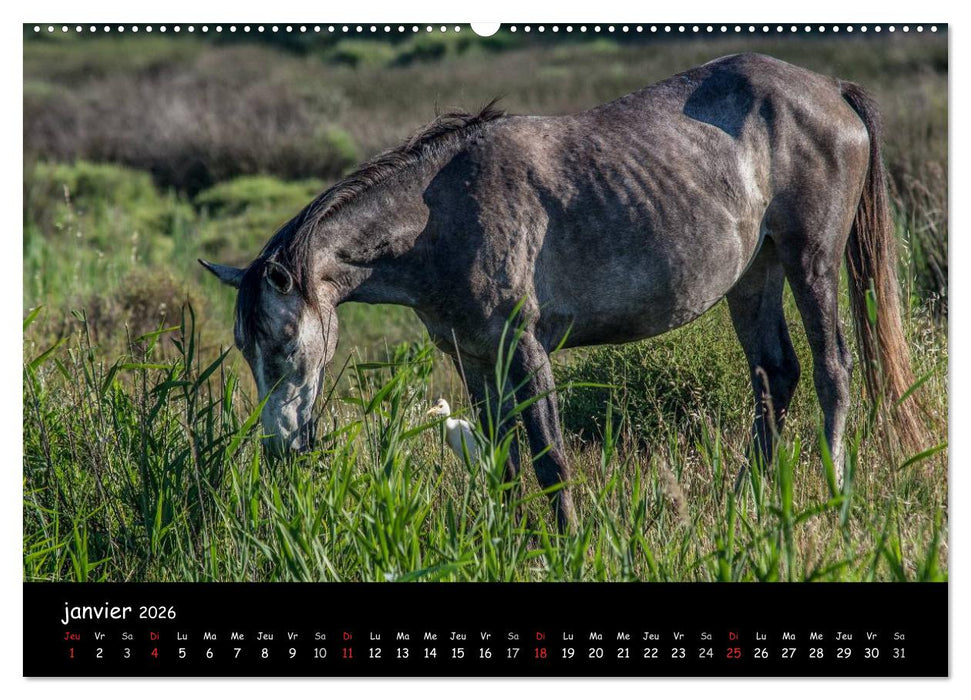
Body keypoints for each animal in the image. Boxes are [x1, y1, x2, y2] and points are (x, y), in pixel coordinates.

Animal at [201, 53, 924, 533]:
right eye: (244, 347)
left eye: (285, 342)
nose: (280, 451)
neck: (442, 216)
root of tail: (829, 87)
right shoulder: (474, 358)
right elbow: (502, 459)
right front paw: (509, 540)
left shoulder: (525, 349)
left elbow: (549, 456)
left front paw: (567, 542)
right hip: (754, 274)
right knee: (775, 375)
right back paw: (747, 501)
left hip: (810, 260)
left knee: (832, 369)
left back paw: (831, 494)